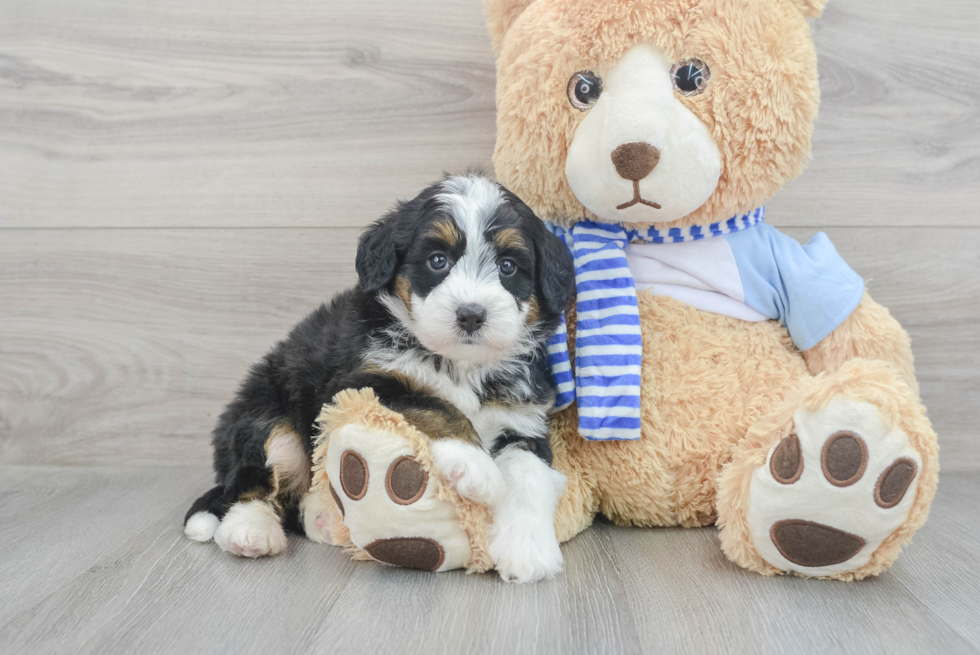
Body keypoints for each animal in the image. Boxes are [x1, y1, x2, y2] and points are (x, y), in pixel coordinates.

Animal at [184, 176, 576, 584]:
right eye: (438, 260)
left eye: (508, 266)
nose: (471, 314)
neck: (462, 364)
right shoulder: (358, 382)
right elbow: (434, 404)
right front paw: (475, 464)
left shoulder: (523, 417)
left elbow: (530, 473)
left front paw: (527, 550)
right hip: (265, 411)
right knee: (253, 478)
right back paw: (250, 530)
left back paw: (322, 518)